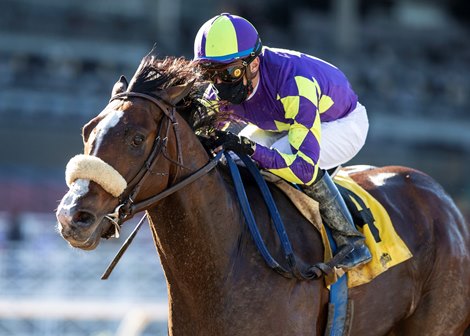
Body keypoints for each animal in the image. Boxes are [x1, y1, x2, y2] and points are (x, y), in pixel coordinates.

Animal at [57, 53, 470, 334]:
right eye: (87, 130)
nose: (72, 217)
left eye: (137, 138)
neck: (225, 260)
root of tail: (445, 204)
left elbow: (304, 165)